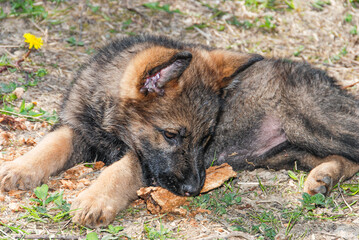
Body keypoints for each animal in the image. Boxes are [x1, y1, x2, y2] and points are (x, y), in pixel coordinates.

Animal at [0, 35, 359, 227]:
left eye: (207, 138)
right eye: (171, 135)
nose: (192, 189)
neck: (110, 121)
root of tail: (331, 83)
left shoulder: (142, 160)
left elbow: (121, 171)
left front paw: (95, 199)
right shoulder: (79, 129)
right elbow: (50, 145)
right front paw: (18, 168)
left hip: (315, 123)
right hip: (286, 152)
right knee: (346, 161)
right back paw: (323, 178)